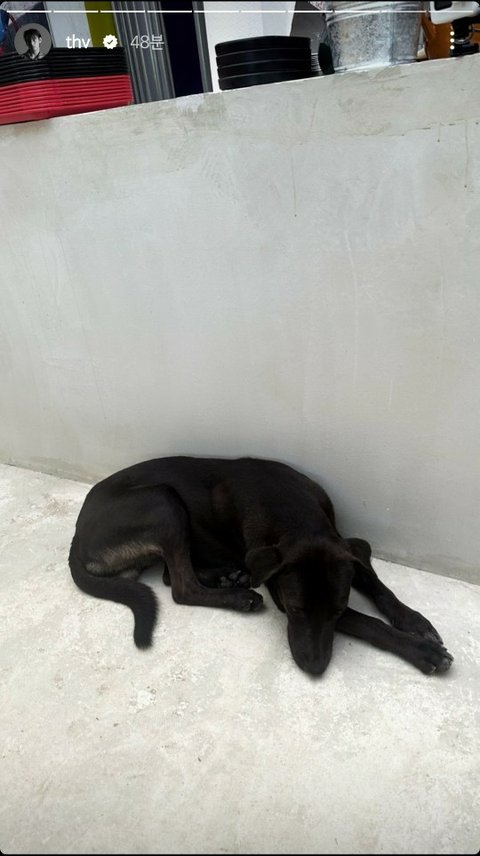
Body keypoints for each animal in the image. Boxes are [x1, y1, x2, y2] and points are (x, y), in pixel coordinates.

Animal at [68, 455, 453, 676]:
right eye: (293, 610)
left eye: (335, 610)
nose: (314, 668)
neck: (294, 511)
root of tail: (77, 536)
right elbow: (367, 623)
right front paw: (420, 650)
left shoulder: (344, 548)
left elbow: (377, 584)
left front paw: (413, 621)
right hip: (162, 500)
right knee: (179, 586)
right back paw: (239, 596)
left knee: (170, 575)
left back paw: (229, 577)